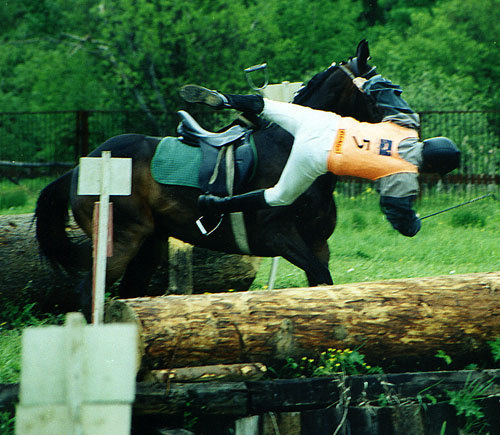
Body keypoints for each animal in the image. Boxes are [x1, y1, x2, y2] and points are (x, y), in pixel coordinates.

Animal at [35, 41, 380, 320]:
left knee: (131, 293)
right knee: (89, 291)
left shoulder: (318, 243)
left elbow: (322, 287)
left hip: (149, 243)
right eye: (380, 90)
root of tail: (80, 168)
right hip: (121, 239)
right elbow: (320, 277)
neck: (294, 146)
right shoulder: (280, 236)